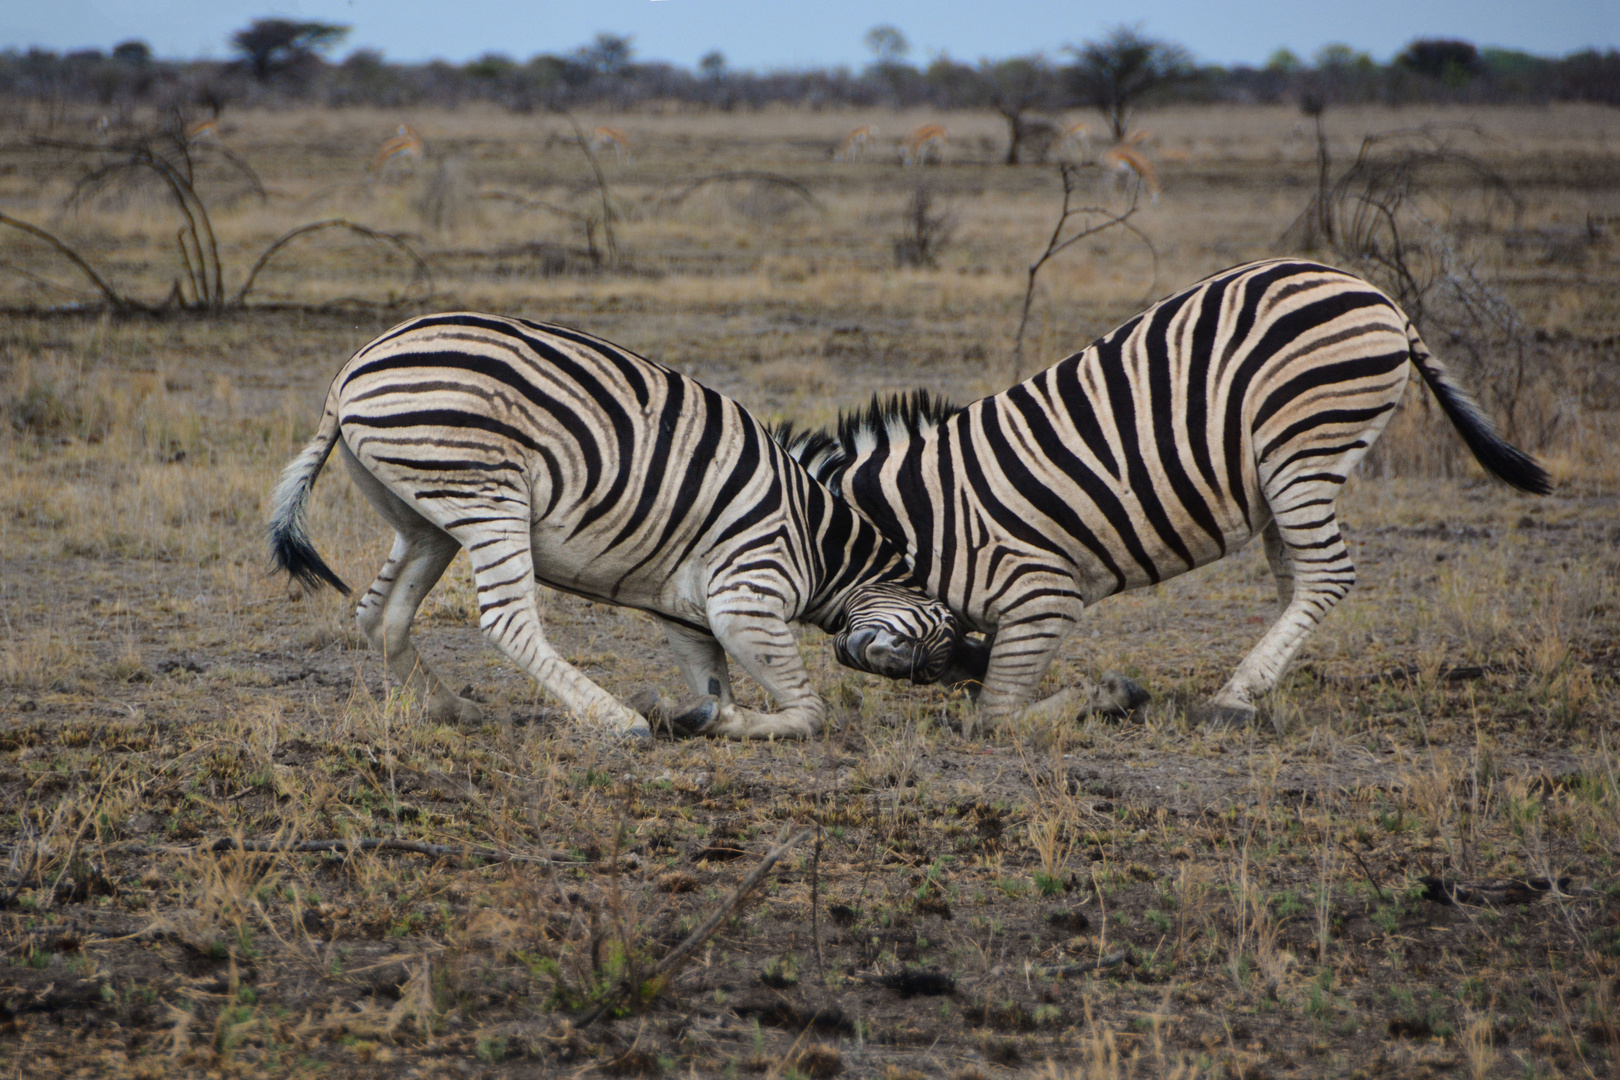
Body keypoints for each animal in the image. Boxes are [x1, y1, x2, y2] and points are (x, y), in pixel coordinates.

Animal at [270, 307, 965, 738]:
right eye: (940, 628)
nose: (938, 675)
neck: (821, 541)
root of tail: (354, 366)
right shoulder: (747, 595)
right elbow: (809, 708)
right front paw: (711, 721)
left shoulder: (688, 613)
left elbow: (714, 681)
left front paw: (701, 717)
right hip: (490, 494)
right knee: (507, 621)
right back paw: (612, 719)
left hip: (425, 516)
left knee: (380, 613)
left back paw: (452, 708)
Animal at [784, 259, 1555, 731]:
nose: (917, 656)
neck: (917, 520)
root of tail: (1378, 295)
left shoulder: (1041, 593)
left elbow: (995, 713)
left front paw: (1105, 696)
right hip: (1282, 470)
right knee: (1301, 579)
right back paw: (1262, 685)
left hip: (1301, 446)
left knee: (1327, 575)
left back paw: (1235, 697)